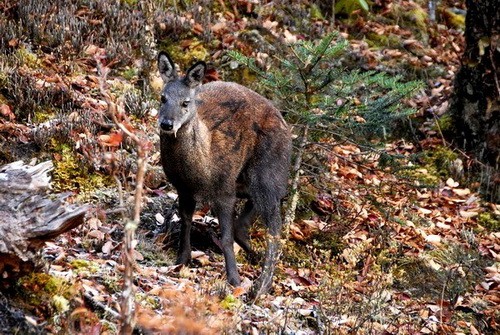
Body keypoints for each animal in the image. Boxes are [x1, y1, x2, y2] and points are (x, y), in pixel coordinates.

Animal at [157, 51, 292, 298]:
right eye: (163, 98)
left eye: (185, 102)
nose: (167, 124)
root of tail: (285, 122)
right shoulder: (184, 188)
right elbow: (186, 221)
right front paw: (182, 259)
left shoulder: (224, 189)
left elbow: (226, 237)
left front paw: (234, 280)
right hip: (247, 180)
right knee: (251, 214)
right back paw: (255, 258)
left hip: (269, 170)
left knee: (274, 228)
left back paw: (261, 286)